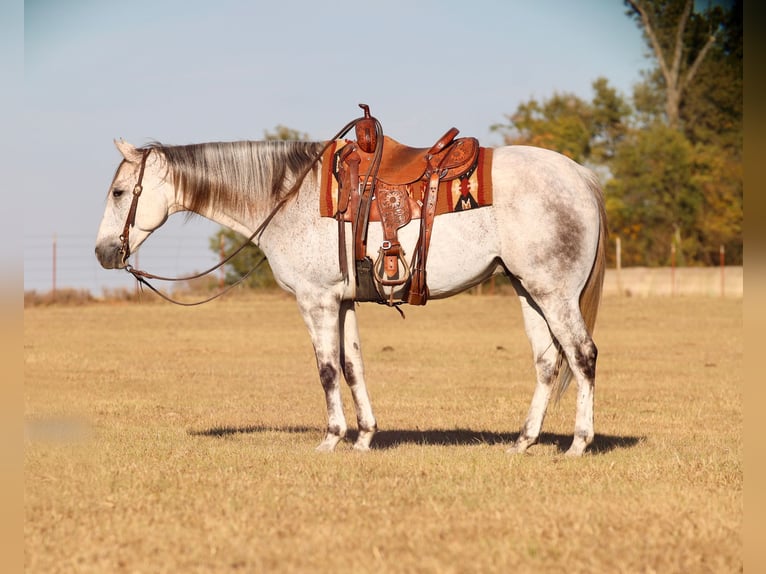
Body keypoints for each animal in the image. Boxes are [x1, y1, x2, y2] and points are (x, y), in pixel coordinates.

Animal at [96, 133, 608, 456]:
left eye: (119, 192)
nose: (103, 252)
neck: (290, 197)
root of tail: (580, 176)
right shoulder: (342, 302)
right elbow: (352, 365)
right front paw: (364, 437)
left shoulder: (316, 300)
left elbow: (325, 369)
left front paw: (331, 437)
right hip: (528, 290)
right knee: (548, 361)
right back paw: (523, 441)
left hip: (554, 292)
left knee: (582, 355)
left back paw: (578, 443)